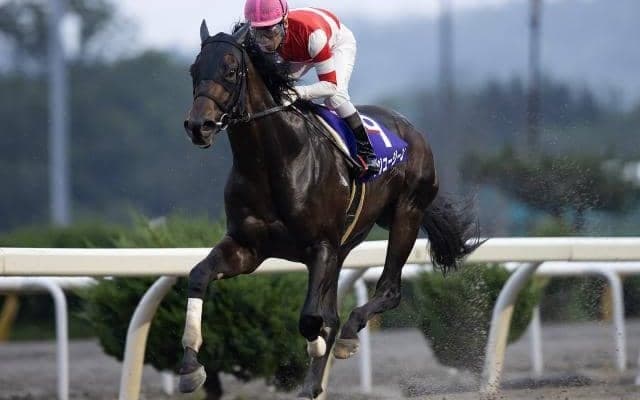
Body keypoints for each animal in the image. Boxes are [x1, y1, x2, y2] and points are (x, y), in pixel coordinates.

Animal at [179, 21, 480, 399]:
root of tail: (409, 127)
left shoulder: (320, 246)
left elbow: (311, 318)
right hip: (351, 239)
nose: (198, 126)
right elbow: (198, 276)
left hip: (405, 215)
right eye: (193, 70)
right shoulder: (247, 248)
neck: (273, 162)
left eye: (230, 70)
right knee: (336, 311)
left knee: (387, 290)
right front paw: (190, 367)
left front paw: (317, 349)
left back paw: (348, 337)